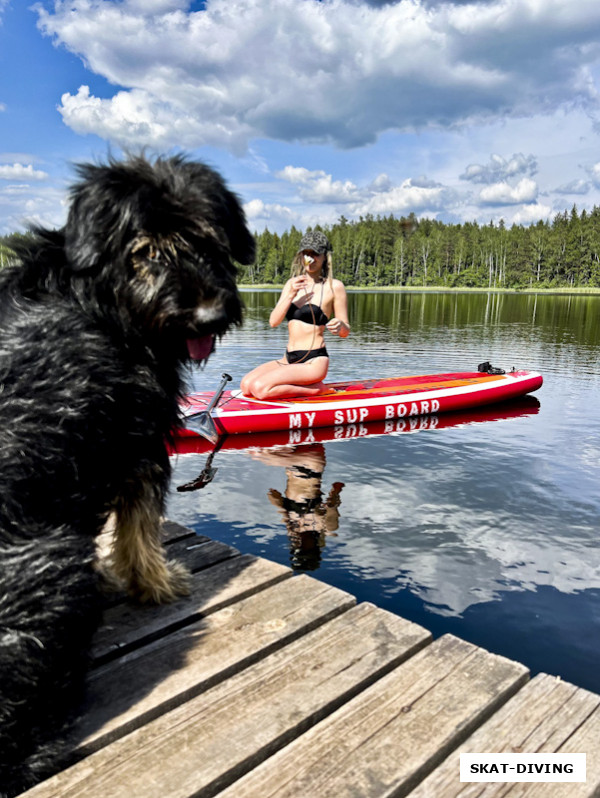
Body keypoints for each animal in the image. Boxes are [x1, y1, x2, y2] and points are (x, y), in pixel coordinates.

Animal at [0, 153, 254, 796]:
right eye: (145, 251)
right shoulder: (139, 436)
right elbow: (140, 525)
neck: (100, 297)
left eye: (207, 241)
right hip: (55, 566)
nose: (210, 315)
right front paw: (155, 582)